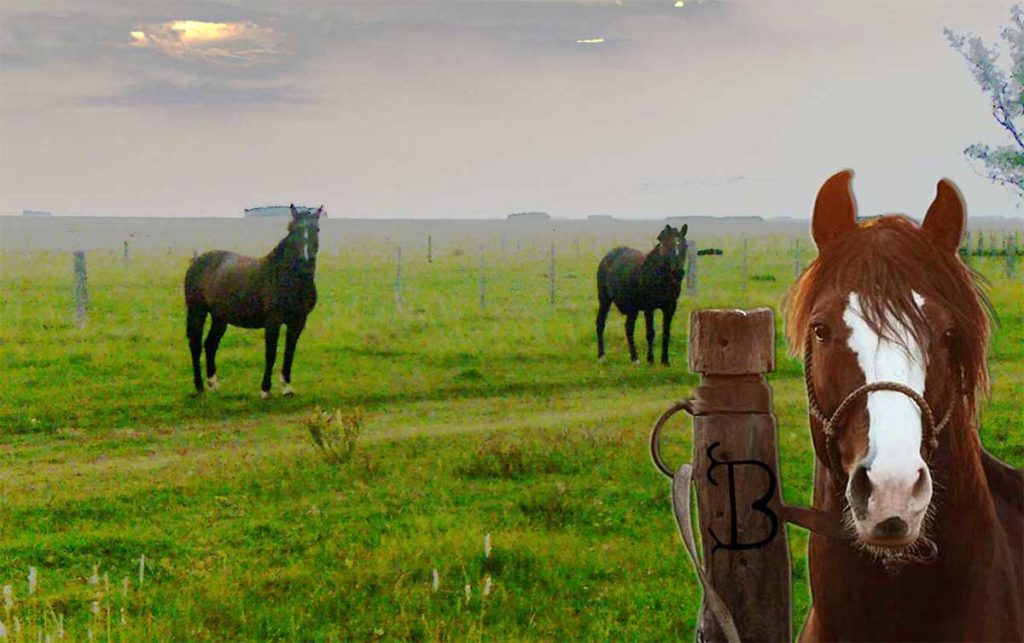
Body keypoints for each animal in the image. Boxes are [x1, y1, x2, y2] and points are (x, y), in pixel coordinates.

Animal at [184, 204, 322, 398]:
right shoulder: (273, 322)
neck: (285, 277)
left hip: (220, 317)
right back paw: (199, 386)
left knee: (210, 344)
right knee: (195, 344)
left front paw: (287, 388)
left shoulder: (298, 322)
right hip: (197, 311)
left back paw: (213, 384)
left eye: (316, 229)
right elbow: (270, 354)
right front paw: (265, 390)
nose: (306, 262)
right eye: (292, 229)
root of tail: (197, 260)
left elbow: (289, 352)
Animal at [596, 224, 687, 365]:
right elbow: (650, 333)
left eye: (685, 246)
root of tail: (608, 256)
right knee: (600, 324)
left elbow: (666, 332)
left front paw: (665, 360)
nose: (678, 273)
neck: (660, 277)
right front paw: (650, 360)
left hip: (632, 308)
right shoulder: (649, 307)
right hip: (604, 300)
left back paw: (634, 358)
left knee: (628, 327)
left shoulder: (670, 307)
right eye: (667, 245)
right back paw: (601, 356)